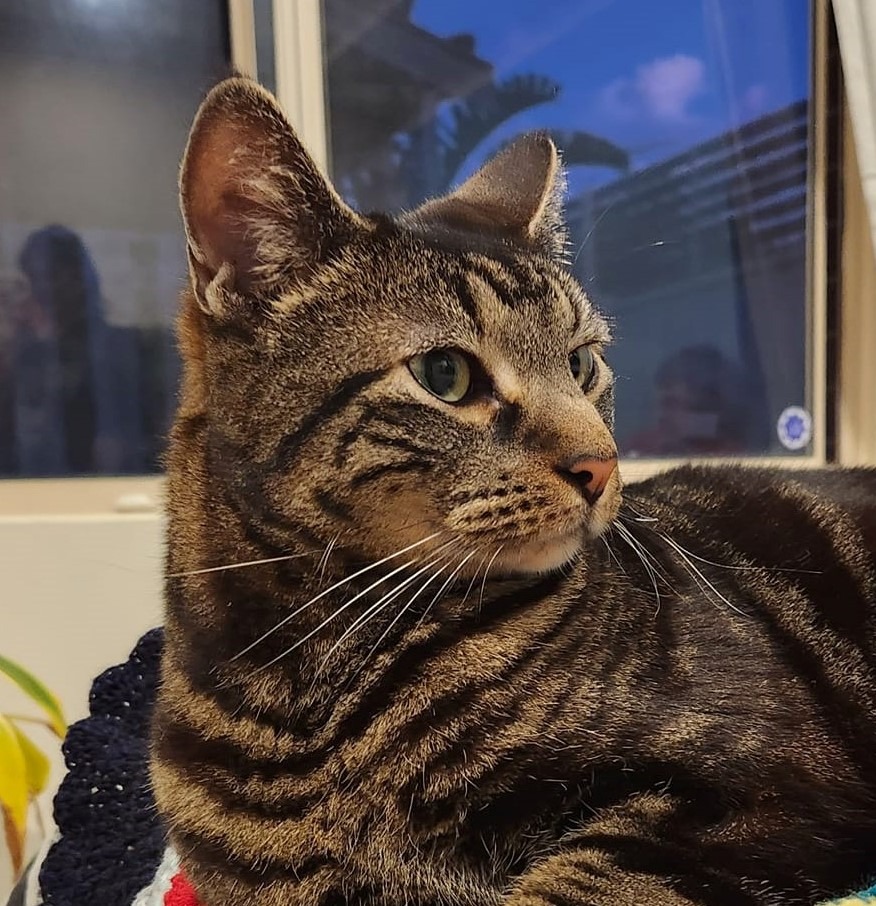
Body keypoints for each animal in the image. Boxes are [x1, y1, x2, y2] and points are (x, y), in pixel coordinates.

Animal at [150, 76, 876, 906]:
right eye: (444, 374)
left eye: (582, 363)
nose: (603, 464)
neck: (304, 679)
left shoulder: (769, 781)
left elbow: (576, 881)